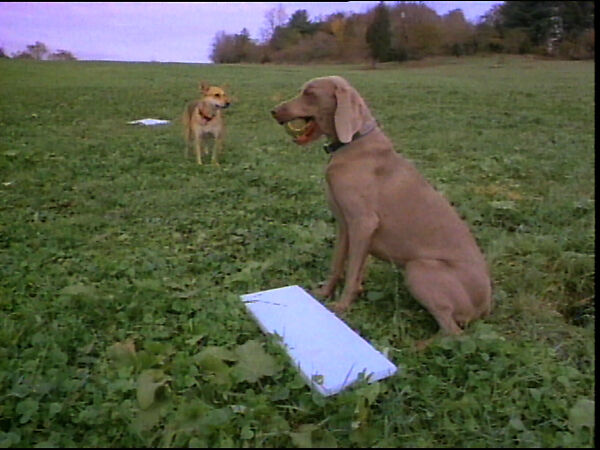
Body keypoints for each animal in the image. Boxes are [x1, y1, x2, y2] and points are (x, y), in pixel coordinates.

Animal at [272, 76, 492, 338]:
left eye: (310, 94)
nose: (274, 111)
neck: (353, 142)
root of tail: (484, 306)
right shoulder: (345, 225)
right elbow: (338, 265)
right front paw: (323, 294)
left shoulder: (363, 223)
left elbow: (352, 271)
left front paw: (341, 307)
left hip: (419, 269)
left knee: (453, 332)